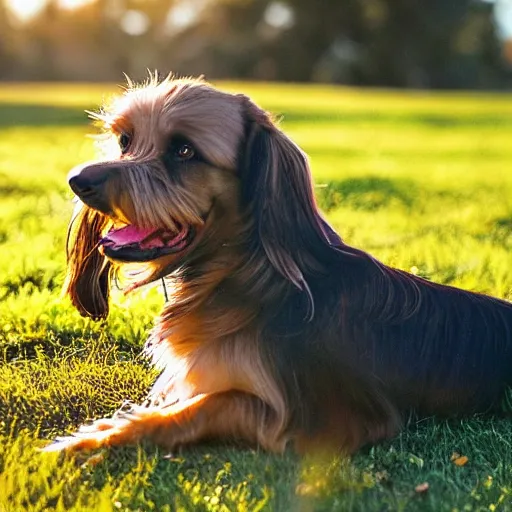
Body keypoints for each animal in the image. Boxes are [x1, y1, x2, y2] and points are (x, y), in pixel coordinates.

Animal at [44, 74, 512, 454]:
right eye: (125, 141)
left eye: (184, 150)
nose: (79, 181)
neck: (245, 276)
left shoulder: (325, 421)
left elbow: (207, 403)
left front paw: (97, 436)